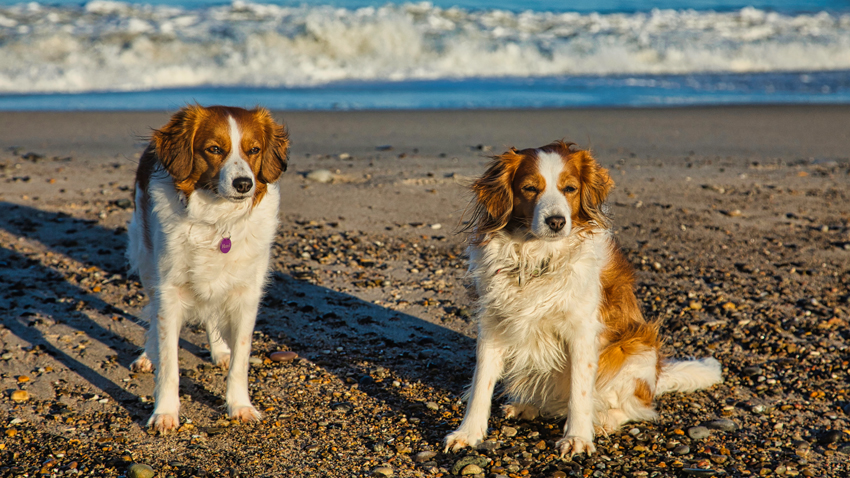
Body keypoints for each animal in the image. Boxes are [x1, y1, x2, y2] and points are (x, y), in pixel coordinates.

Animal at [127, 105, 288, 434]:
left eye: (254, 150)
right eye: (214, 149)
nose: (244, 184)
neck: (218, 221)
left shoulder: (246, 294)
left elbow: (241, 358)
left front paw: (240, 405)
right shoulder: (169, 290)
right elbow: (169, 362)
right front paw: (165, 412)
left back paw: (220, 351)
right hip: (147, 262)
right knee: (152, 313)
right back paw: (148, 355)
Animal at [444, 141, 724, 456]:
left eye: (570, 188)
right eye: (529, 188)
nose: (556, 221)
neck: (538, 257)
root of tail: (655, 377)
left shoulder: (582, 331)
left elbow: (580, 390)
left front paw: (577, 436)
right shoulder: (492, 323)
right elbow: (481, 384)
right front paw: (468, 433)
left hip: (634, 351)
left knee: (634, 408)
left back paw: (602, 422)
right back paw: (526, 406)